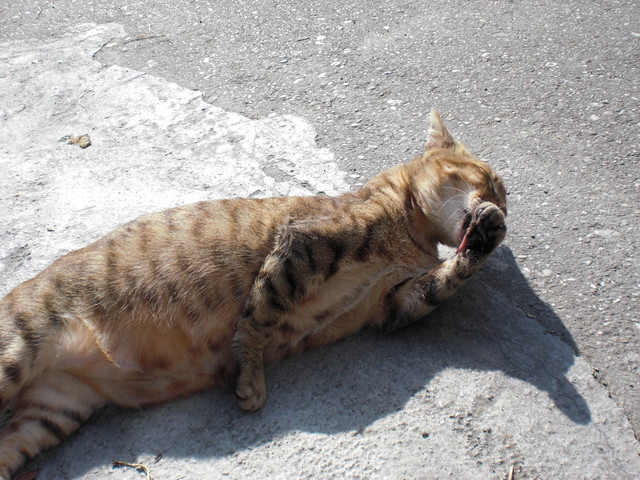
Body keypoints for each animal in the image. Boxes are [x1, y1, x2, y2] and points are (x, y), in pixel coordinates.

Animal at [0, 111, 506, 478]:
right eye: (490, 179)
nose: (503, 205)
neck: (410, 233)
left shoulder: (392, 302)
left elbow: (443, 282)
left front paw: (484, 241)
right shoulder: (303, 246)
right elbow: (260, 317)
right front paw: (250, 376)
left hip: (55, 409)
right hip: (17, 352)